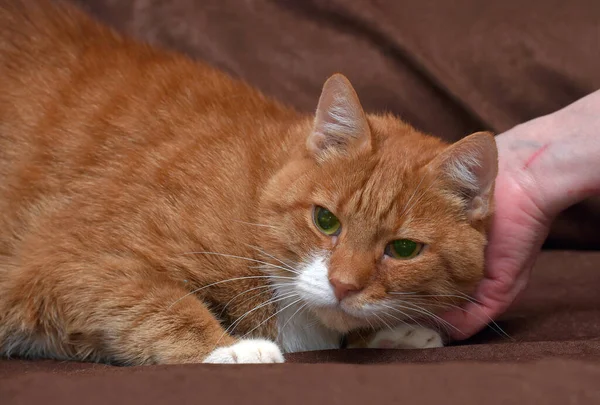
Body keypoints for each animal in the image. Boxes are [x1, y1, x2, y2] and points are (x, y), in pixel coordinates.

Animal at [0, 0, 496, 364]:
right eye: (325, 220)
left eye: (404, 249)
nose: (343, 286)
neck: (255, 194)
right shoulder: (68, 259)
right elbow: (157, 303)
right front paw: (229, 349)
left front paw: (389, 334)